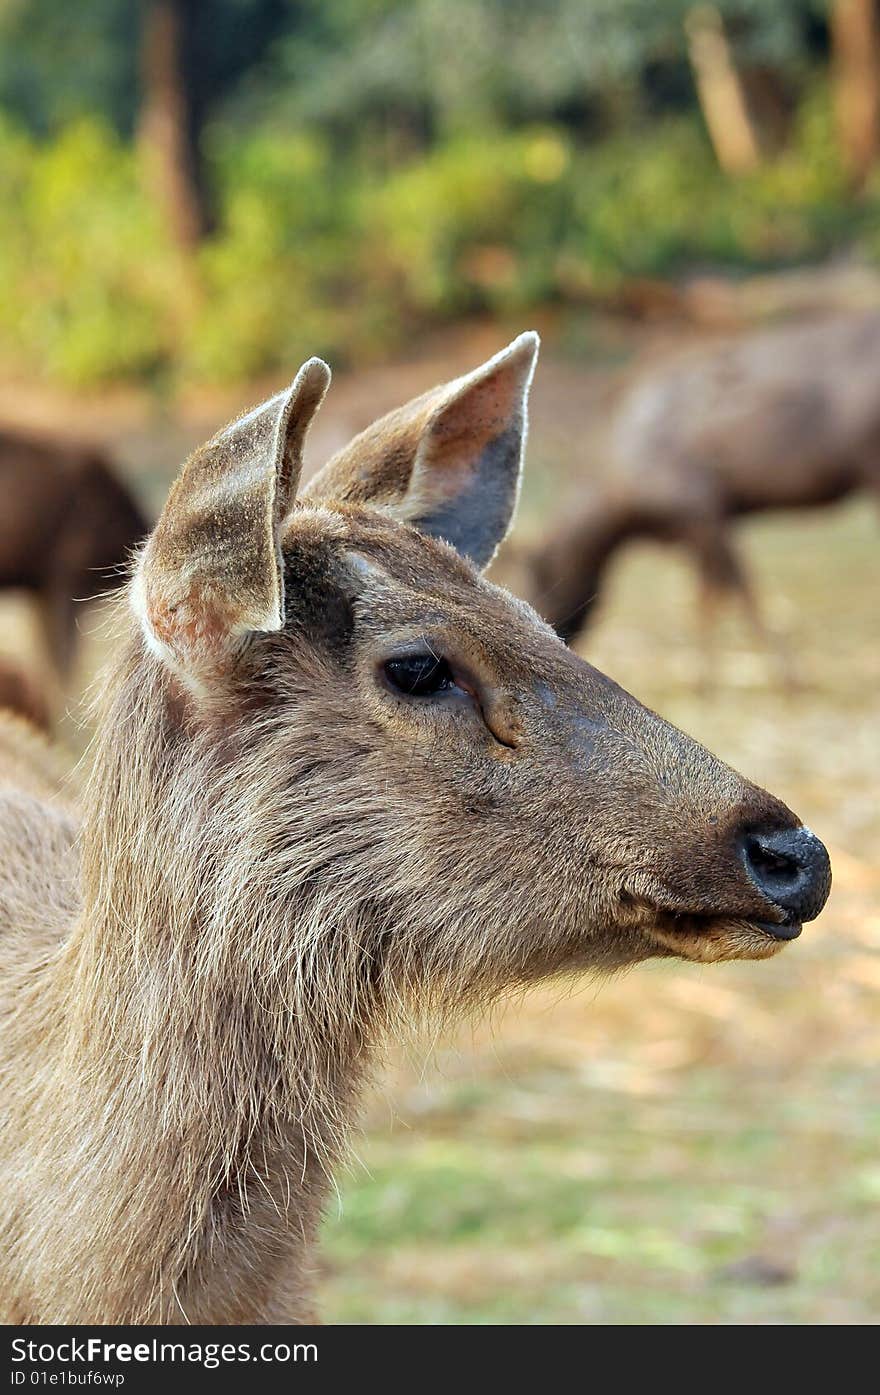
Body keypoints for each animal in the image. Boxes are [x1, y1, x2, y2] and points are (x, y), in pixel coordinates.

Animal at [516, 312, 880, 680]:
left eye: (540, 586)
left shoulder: (701, 510)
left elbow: (735, 590)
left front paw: (782, 674)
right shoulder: (701, 523)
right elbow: (711, 593)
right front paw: (708, 674)